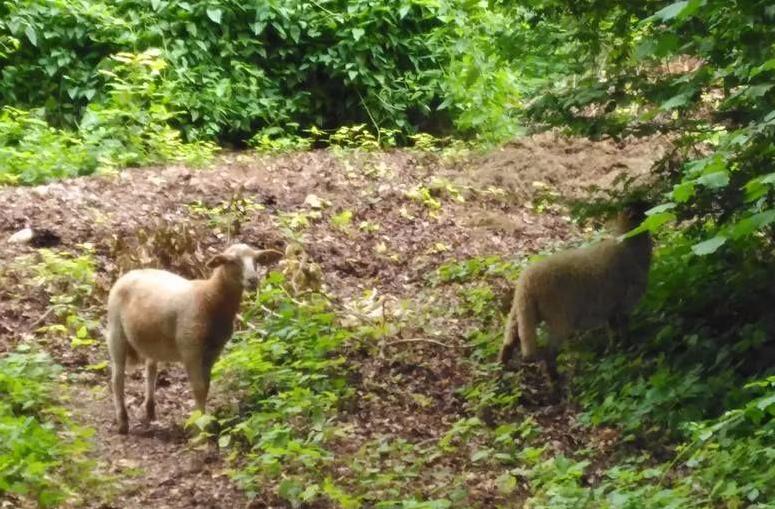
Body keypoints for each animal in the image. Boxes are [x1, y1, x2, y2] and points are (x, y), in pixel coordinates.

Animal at [104, 242, 282, 432]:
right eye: (231, 261)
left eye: (257, 260)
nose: (253, 280)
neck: (209, 297)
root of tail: (128, 273)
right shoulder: (191, 350)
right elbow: (198, 387)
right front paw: (200, 427)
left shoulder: (213, 352)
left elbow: (206, 386)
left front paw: (205, 421)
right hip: (115, 331)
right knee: (117, 378)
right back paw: (123, 422)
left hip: (152, 339)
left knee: (150, 370)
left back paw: (150, 411)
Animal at [498, 200, 656, 382]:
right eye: (643, 206)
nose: (654, 202)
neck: (629, 245)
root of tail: (526, 284)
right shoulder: (625, 303)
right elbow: (623, 329)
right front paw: (628, 347)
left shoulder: (610, 307)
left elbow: (613, 331)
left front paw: (613, 350)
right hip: (559, 319)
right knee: (549, 352)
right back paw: (555, 378)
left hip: (520, 314)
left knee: (509, 342)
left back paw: (502, 369)